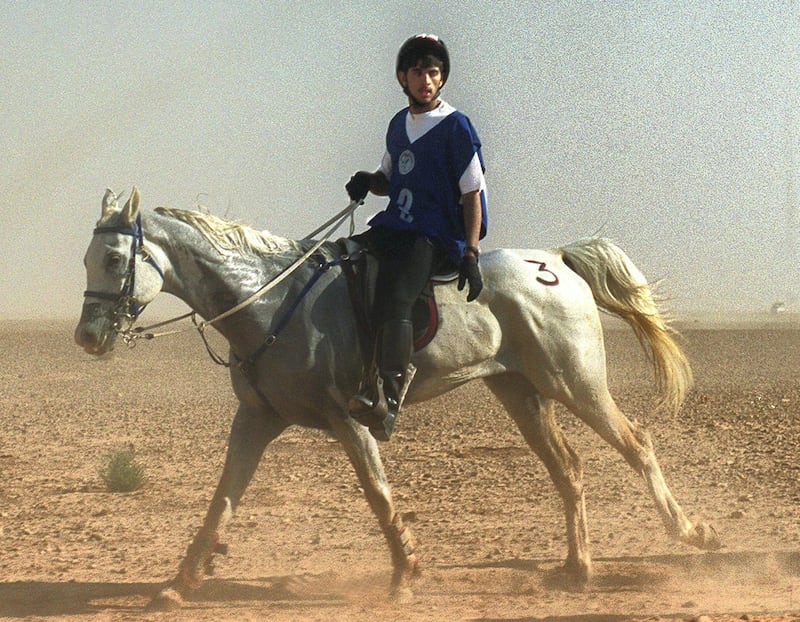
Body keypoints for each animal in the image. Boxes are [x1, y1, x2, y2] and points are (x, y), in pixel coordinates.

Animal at [75, 188, 720, 612]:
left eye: (114, 259)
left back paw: (692, 535)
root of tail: (556, 259)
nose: (87, 337)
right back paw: (578, 569)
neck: (269, 302)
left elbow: (378, 494)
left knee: (637, 444)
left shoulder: (349, 418)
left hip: (575, 382)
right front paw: (178, 583)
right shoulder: (256, 419)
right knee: (570, 468)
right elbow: (221, 501)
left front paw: (407, 572)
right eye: (88, 258)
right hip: (522, 392)